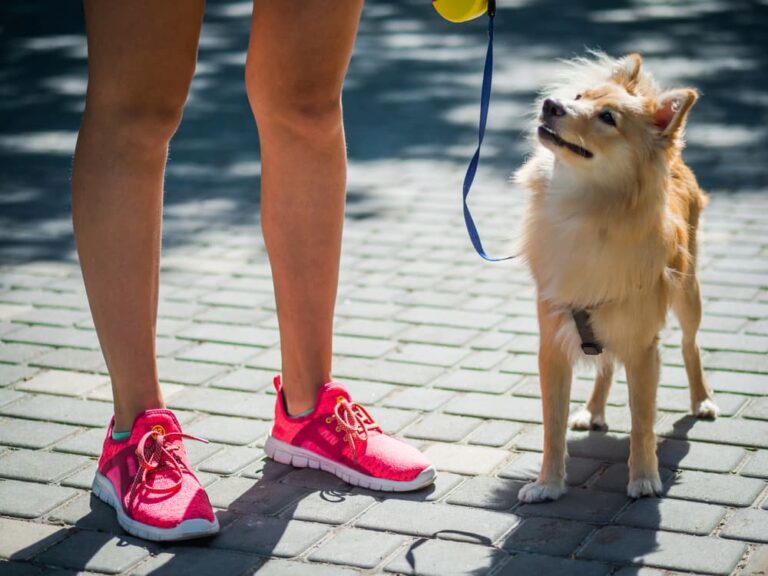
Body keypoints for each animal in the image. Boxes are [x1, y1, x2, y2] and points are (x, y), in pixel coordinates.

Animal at [516, 51, 720, 500]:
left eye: (607, 117)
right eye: (578, 97)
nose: (551, 105)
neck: (583, 208)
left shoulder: (643, 349)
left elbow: (642, 422)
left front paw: (643, 477)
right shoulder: (552, 347)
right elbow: (552, 426)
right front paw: (548, 484)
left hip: (688, 294)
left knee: (691, 345)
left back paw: (701, 399)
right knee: (606, 364)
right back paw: (593, 409)